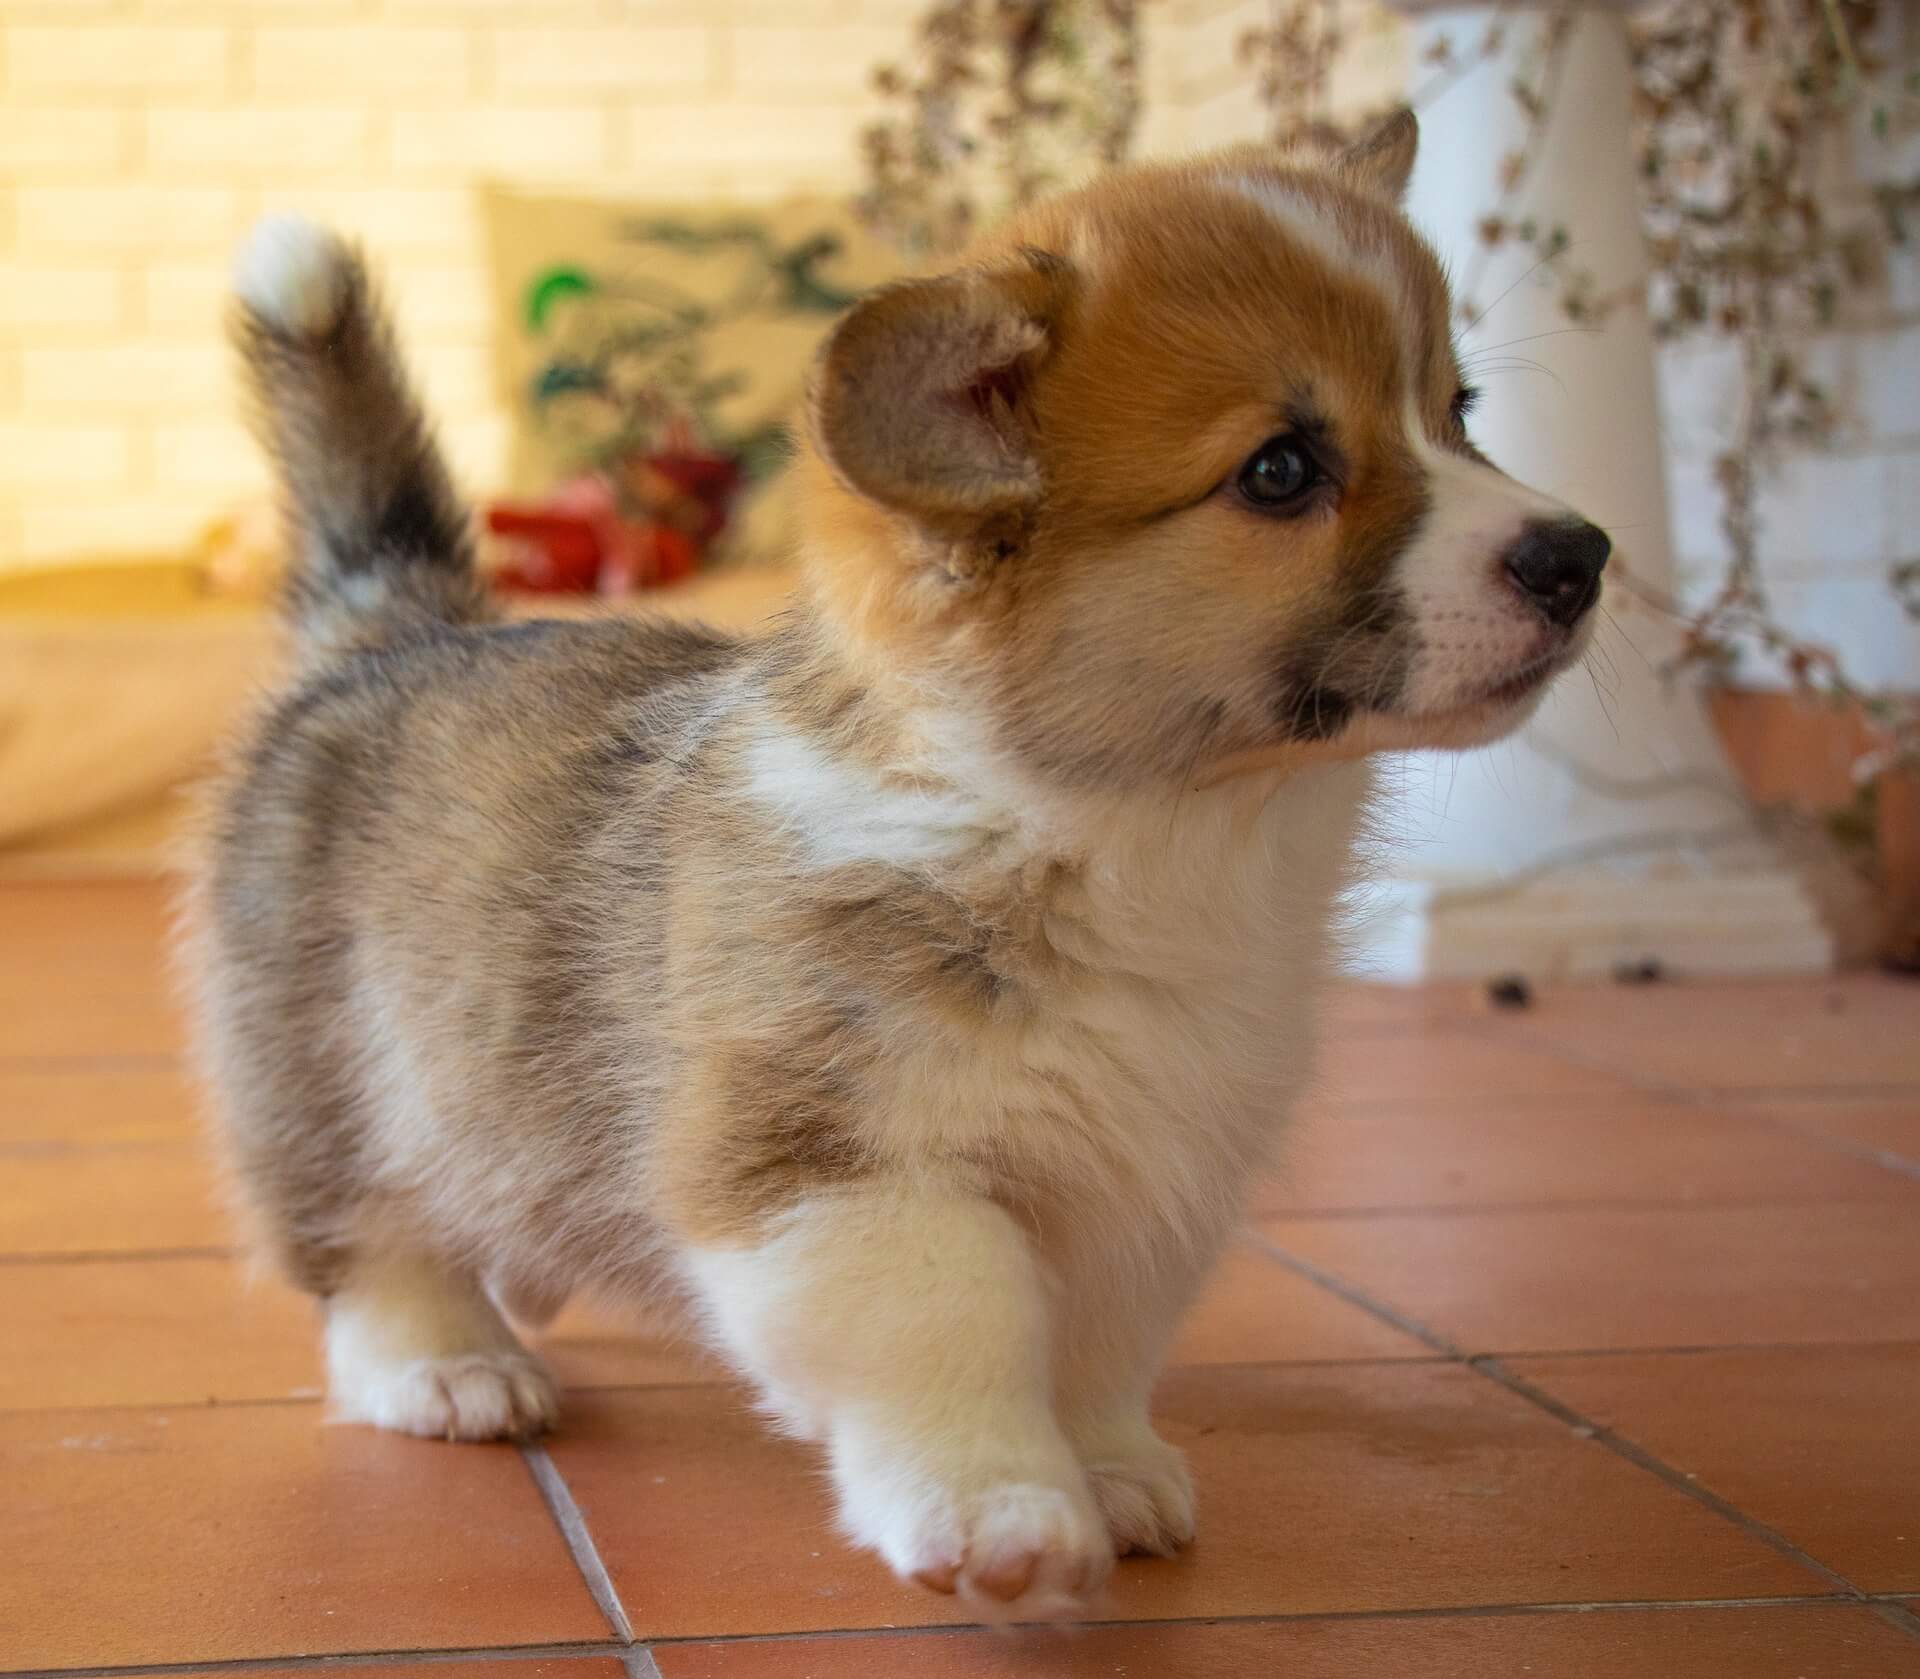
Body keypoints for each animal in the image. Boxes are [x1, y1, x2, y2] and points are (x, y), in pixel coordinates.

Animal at [191, 111, 1605, 1613]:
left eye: (1460, 412)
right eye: (1281, 471)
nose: (1582, 555)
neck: (1137, 832)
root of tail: (396, 631)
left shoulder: (1148, 1179)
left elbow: (1099, 1346)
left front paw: (1113, 1472)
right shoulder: (837, 1164)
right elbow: (953, 1326)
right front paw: (1001, 1510)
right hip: (332, 1078)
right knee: (367, 1243)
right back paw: (448, 1361)